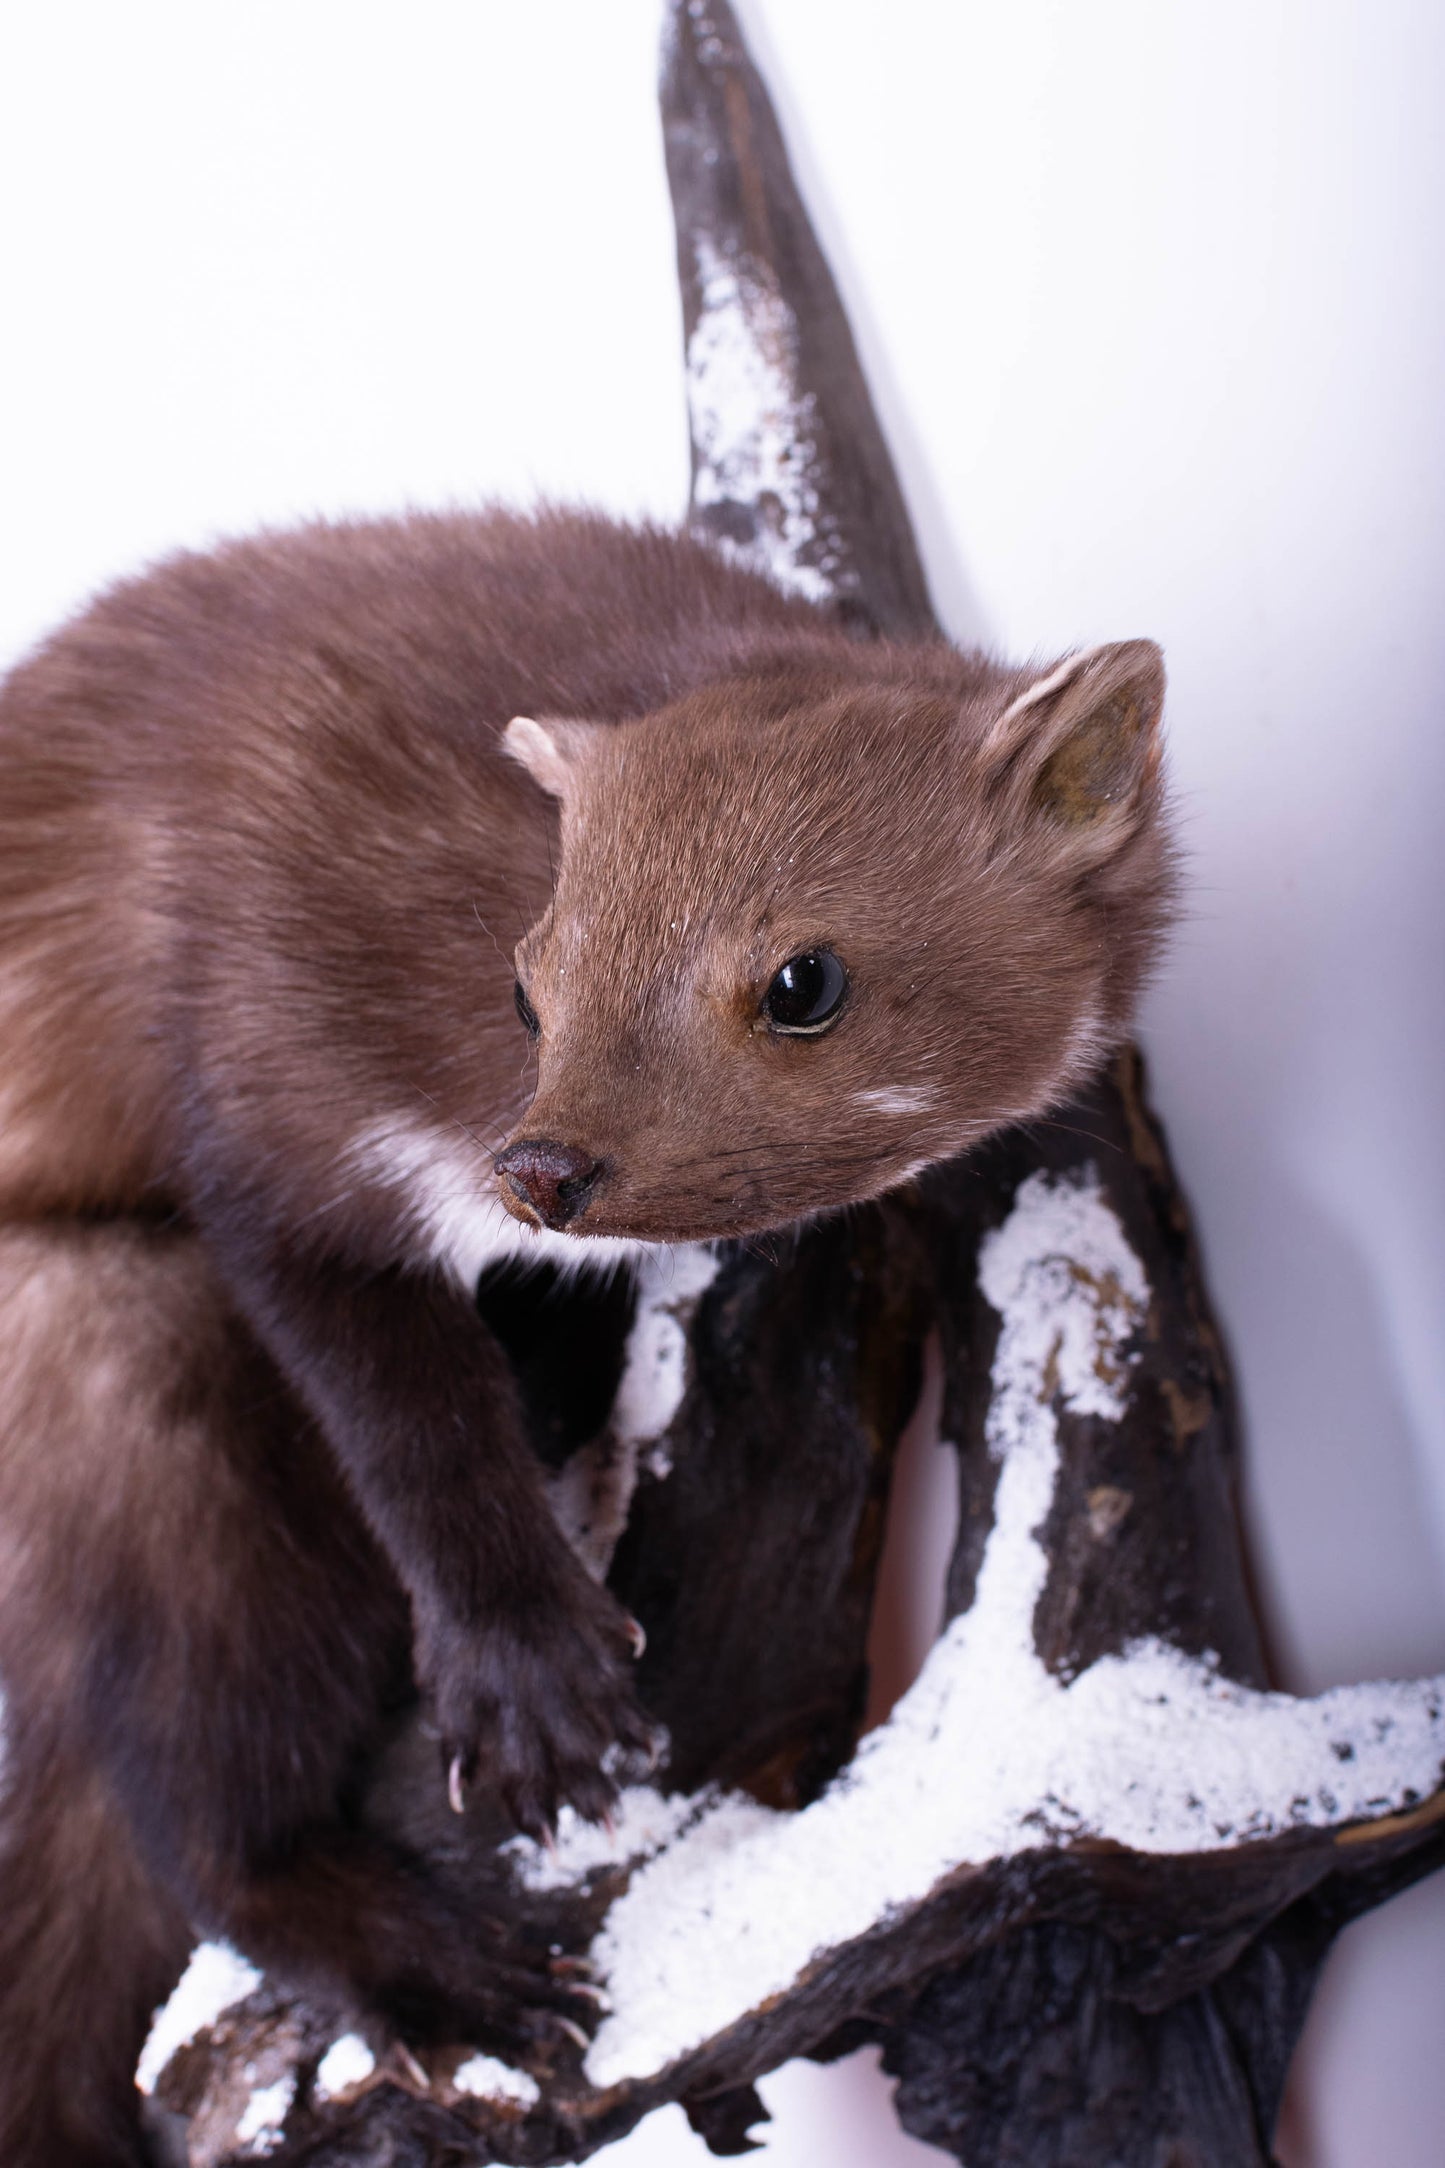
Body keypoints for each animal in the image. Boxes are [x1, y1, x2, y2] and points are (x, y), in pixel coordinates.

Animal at [0, 506, 1174, 2163]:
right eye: (529, 975)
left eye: (802, 976)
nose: (543, 1166)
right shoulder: (268, 1039)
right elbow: (400, 1406)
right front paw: (531, 1681)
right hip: (128, 1364)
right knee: (196, 1809)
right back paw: (446, 1979)